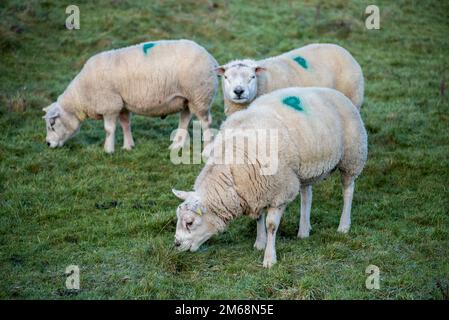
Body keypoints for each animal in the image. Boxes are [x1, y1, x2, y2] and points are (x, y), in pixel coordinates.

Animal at [43, 38, 218, 154]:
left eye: (52, 124)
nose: (47, 144)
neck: (81, 96)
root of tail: (212, 59)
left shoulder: (110, 105)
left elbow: (109, 129)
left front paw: (108, 150)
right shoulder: (121, 105)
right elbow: (125, 124)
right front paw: (128, 146)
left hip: (200, 95)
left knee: (205, 122)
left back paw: (206, 150)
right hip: (187, 99)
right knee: (184, 120)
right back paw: (176, 146)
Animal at [170, 85, 366, 268]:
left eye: (189, 222)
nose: (176, 244)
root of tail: (335, 92)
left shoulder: (279, 192)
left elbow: (271, 226)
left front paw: (269, 258)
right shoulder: (255, 192)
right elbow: (258, 218)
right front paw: (259, 243)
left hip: (352, 156)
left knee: (348, 191)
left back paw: (343, 225)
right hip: (302, 171)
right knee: (306, 195)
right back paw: (304, 230)